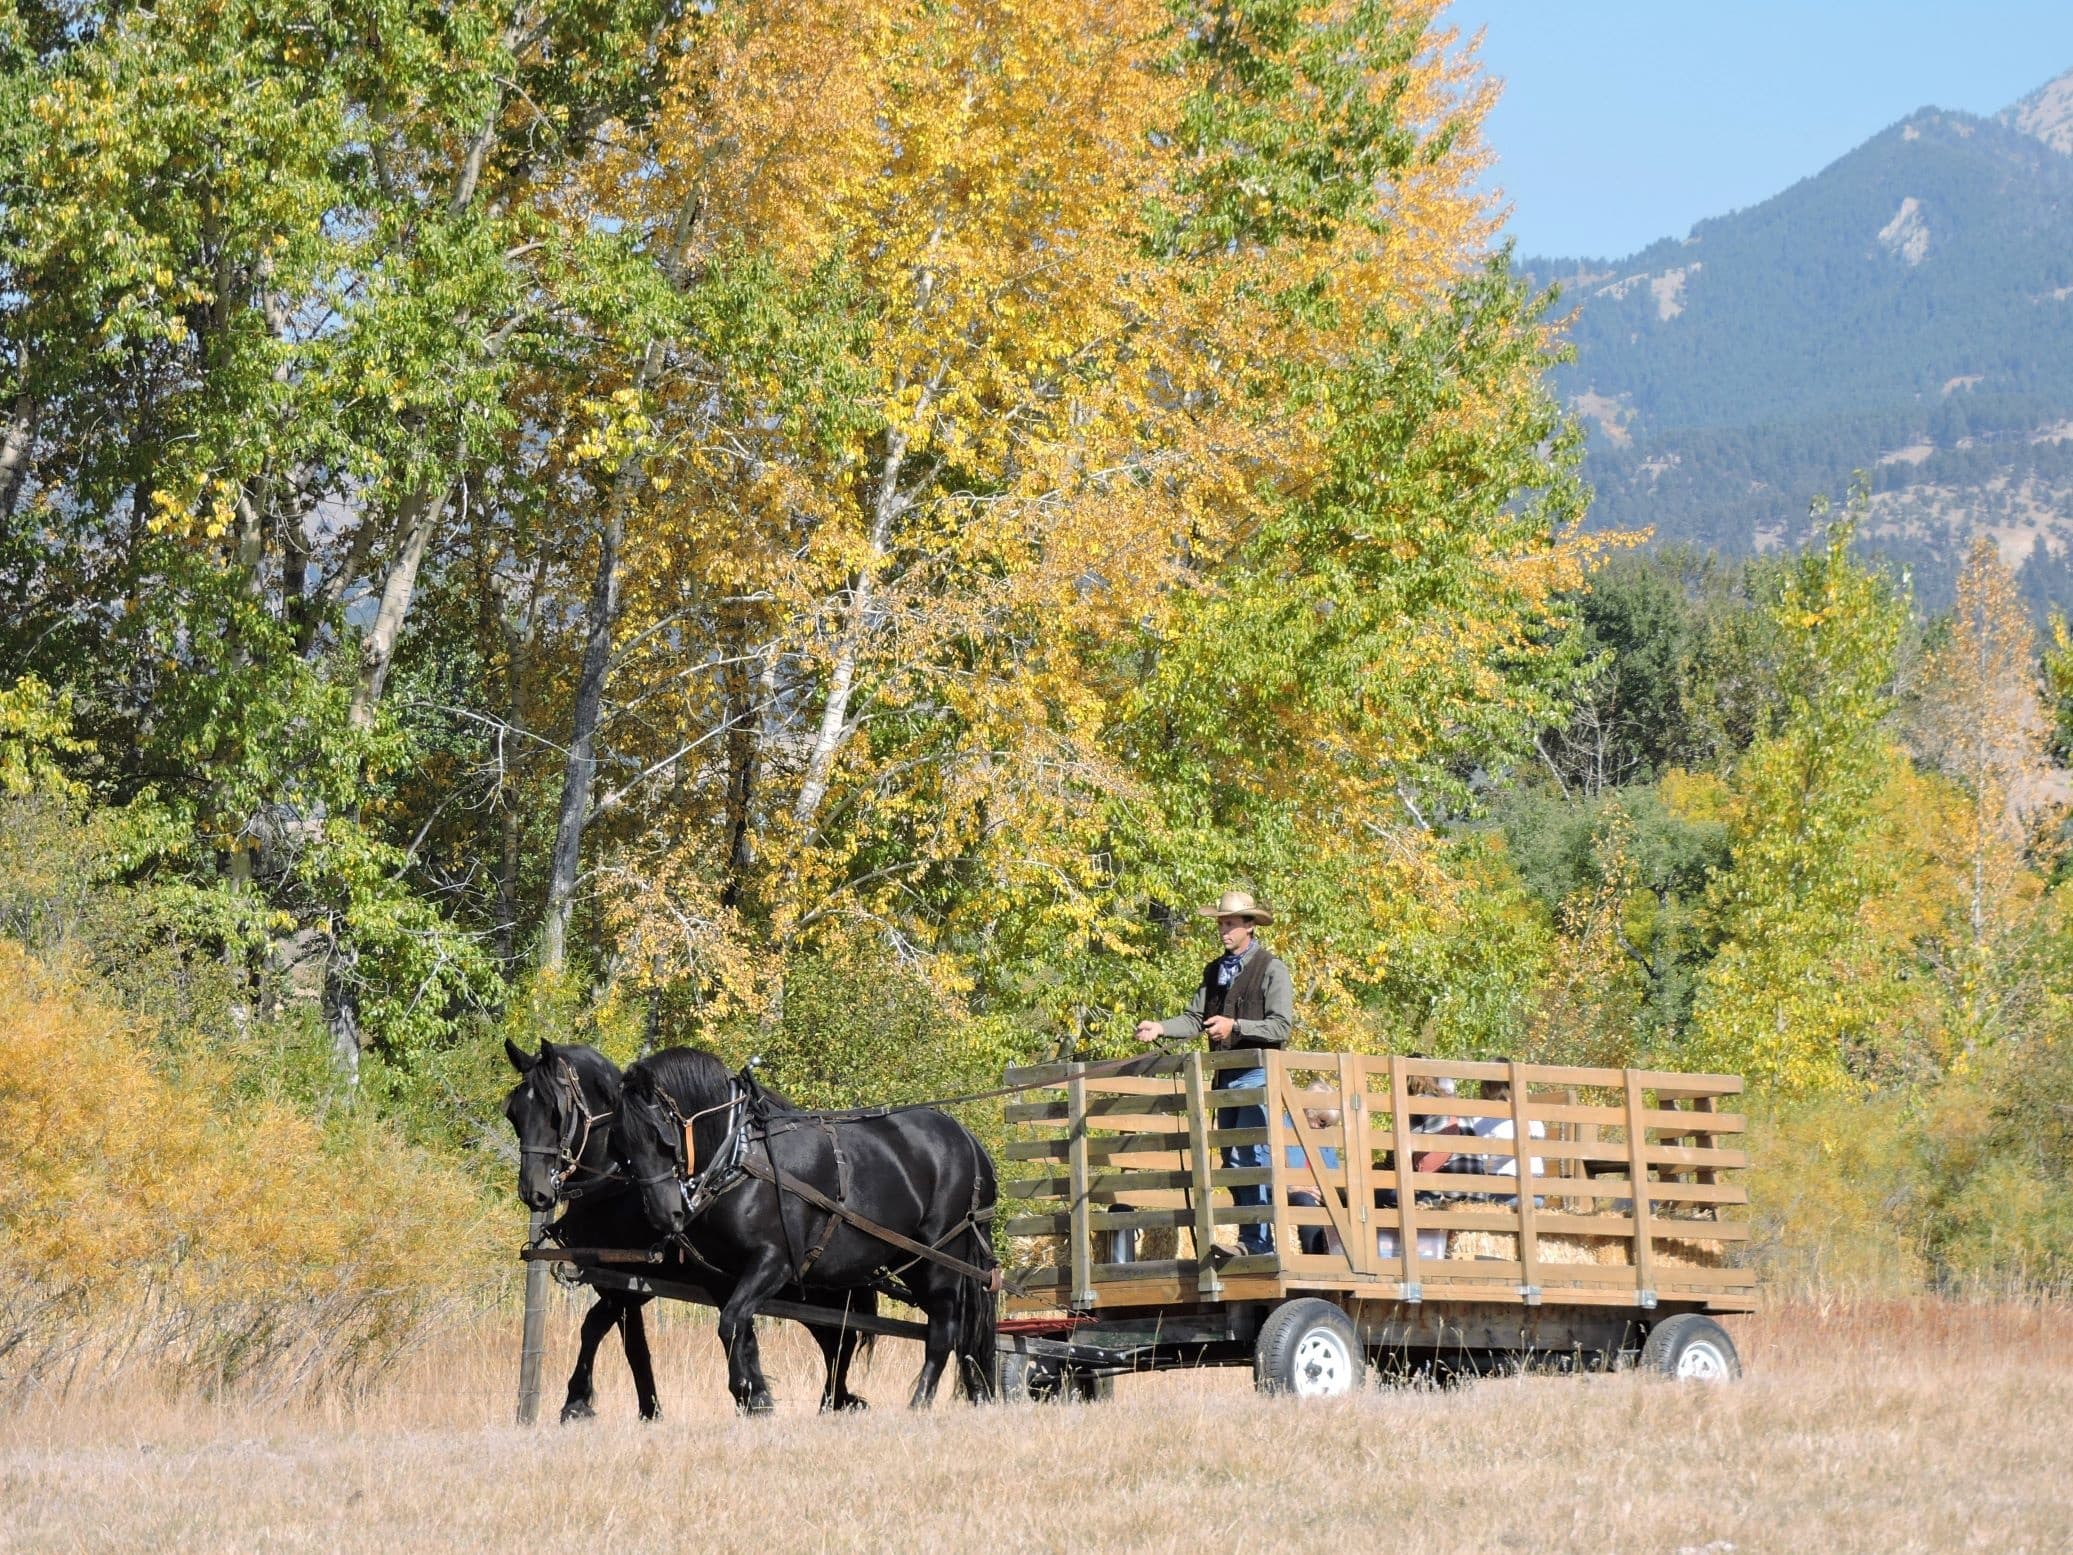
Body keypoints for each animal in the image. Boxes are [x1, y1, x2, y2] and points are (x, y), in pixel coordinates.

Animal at [501, 1039, 876, 1418]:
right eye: (514, 1114)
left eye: (556, 1111)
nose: (535, 1192)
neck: (618, 1188)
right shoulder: (618, 1280)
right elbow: (625, 1341)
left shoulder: (631, 1284)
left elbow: (607, 1332)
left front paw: (583, 1402)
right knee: (836, 1336)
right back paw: (837, 1400)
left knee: (839, 1336)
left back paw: (836, 1399)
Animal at [614, 1046, 999, 1413]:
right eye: (622, 1143)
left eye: (662, 1136)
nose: (664, 1214)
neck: (740, 1154)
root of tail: (968, 1140)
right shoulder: (722, 1274)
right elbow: (739, 1328)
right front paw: (756, 1398)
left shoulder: (776, 1261)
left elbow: (732, 1322)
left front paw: (748, 1393)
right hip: (912, 1261)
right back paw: (975, 1392)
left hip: (941, 1257)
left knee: (944, 1331)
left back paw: (920, 1402)